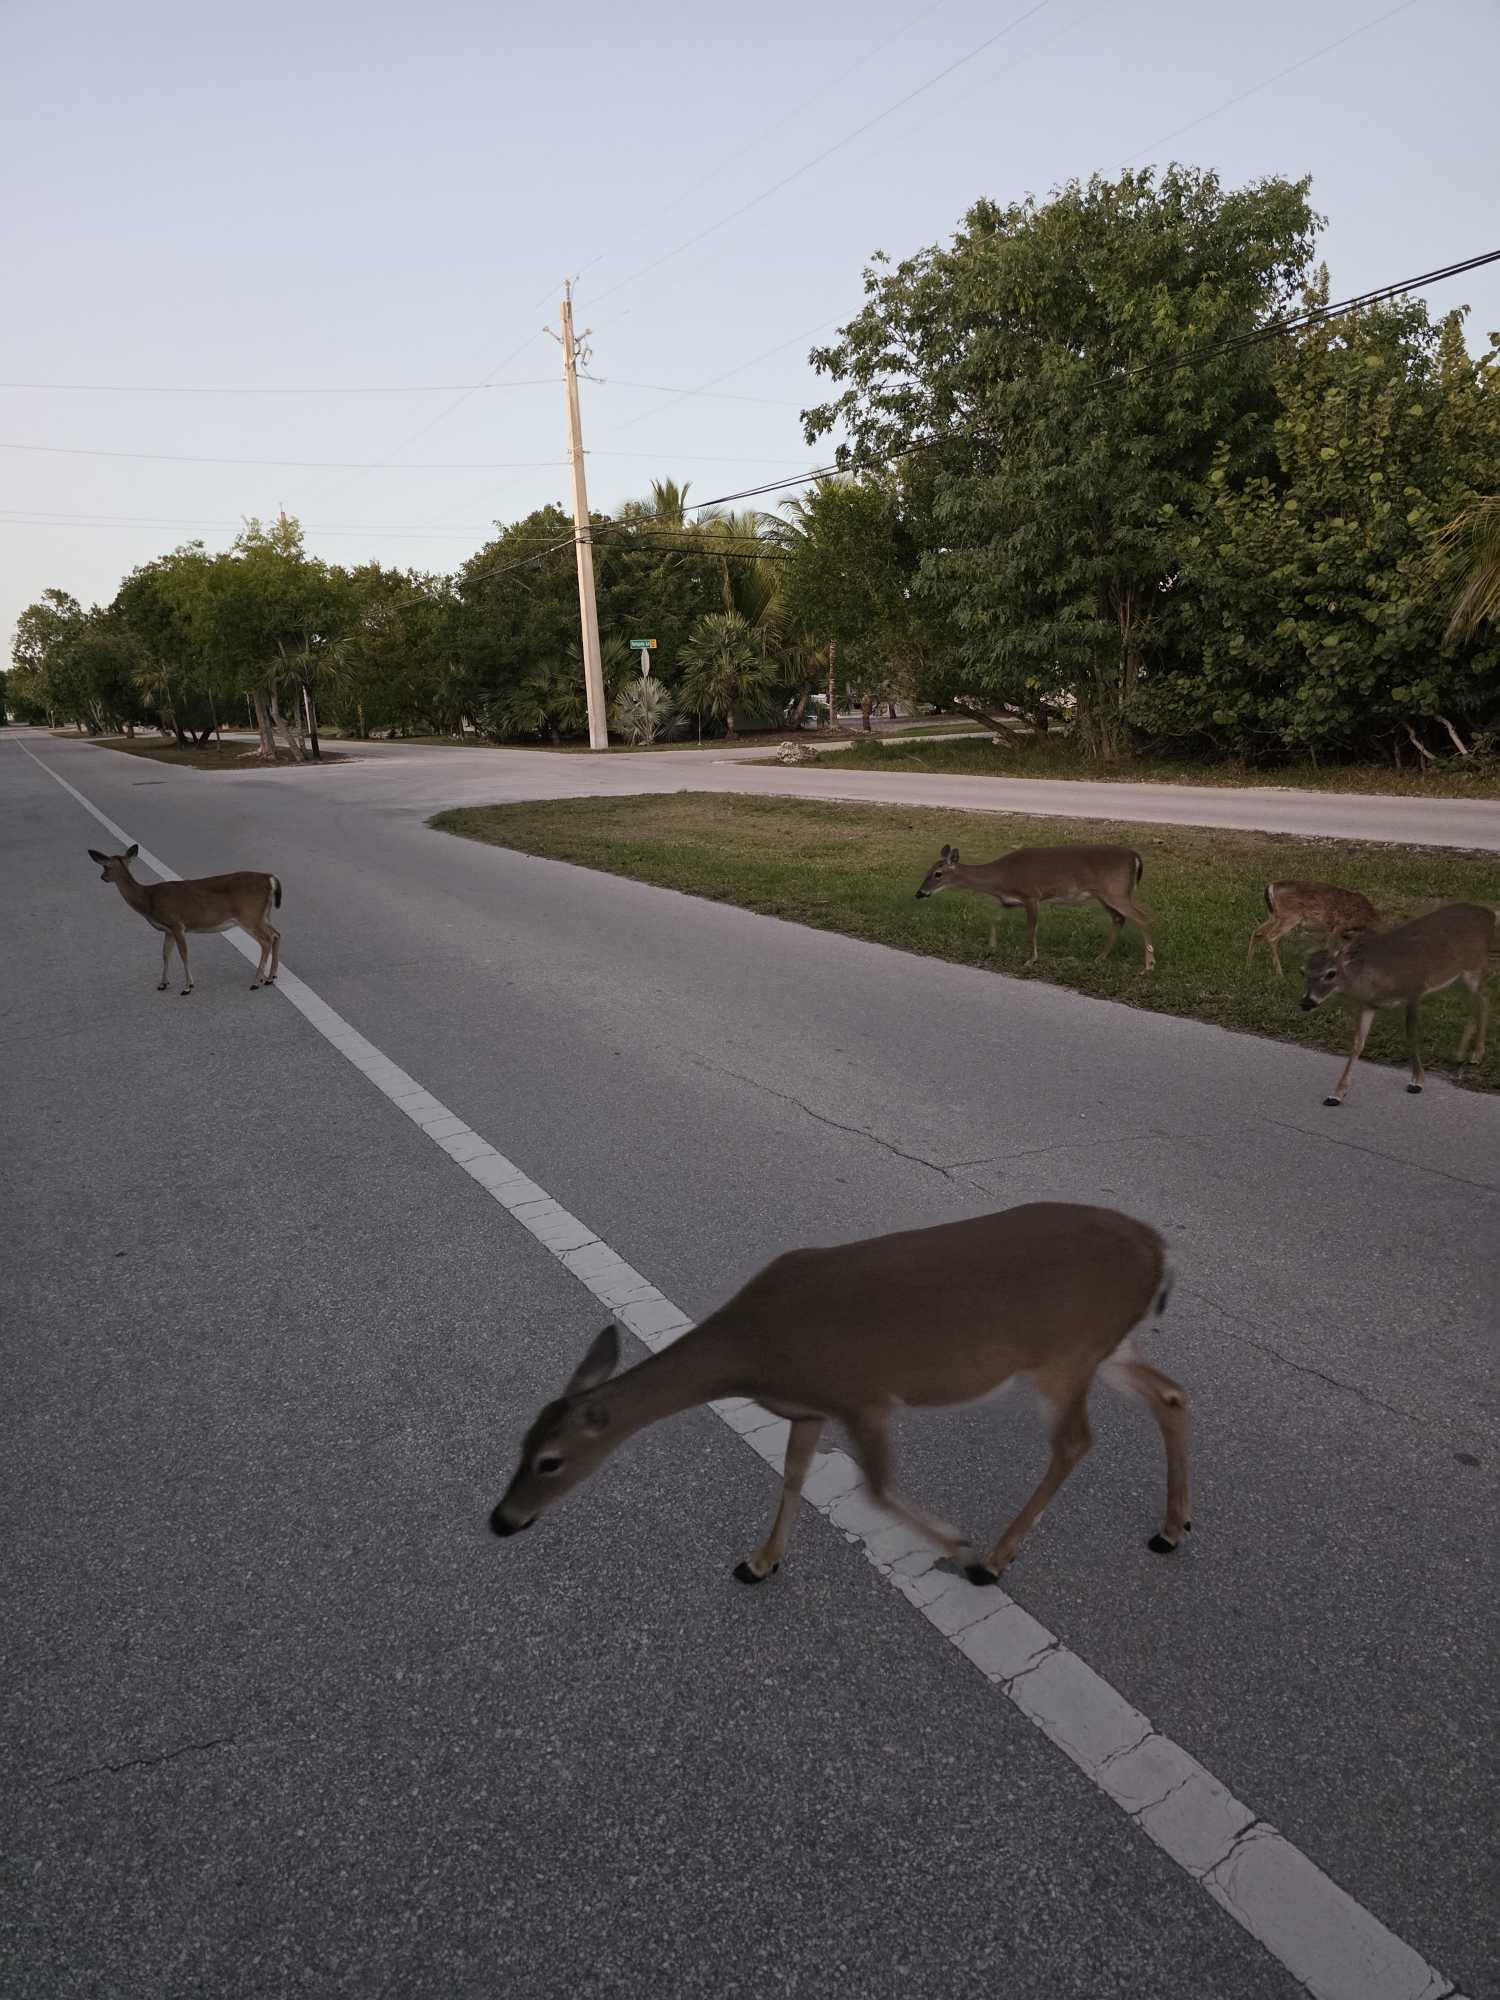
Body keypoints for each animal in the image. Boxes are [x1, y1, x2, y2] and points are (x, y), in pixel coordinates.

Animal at [88, 843, 283, 995]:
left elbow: (183, 953)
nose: (102, 877)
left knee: (266, 940)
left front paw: (188, 986)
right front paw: (163, 983)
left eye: (106, 867)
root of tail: (269, 878)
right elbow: (165, 954)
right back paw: (270, 977)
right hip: (263, 915)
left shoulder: (176, 924)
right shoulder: (167, 929)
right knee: (276, 934)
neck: (148, 900)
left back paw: (256, 982)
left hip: (249, 915)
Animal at [491, 1202, 1191, 1591]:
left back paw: (993, 1560)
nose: (501, 1521)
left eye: (550, 1461)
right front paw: (759, 1562)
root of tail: (1159, 1250)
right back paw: (1172, 1529)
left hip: (1063, 1354)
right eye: (520, 1444)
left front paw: (958, 1545)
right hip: (1106, 1346)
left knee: (1076, 1440)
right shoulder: (812, 1407)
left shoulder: (861, 1396)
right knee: (1172, 1394)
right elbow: (795, 1473)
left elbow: (874, 1489)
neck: (755, 1352)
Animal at [915, 844, 1155, 970]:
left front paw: (1030, 960)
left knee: (1143, 917)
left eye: (938, 874)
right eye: (927, 870)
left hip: (1116, 891)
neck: (1001, 878)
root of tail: (1135, 857)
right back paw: (1100, 958)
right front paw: (991, 947)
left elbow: (1031, 930)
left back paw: (1148, 966)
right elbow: (993, 918)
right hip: (1106, 895)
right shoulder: (1010, 901)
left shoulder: (1032, 895)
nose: (919, 893)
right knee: (1120, 919)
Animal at [1247, 880, 1382, 977]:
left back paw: (1249, 964)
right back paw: (1279, 973)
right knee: (1271, 937)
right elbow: (1332, 950)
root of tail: (1271, 887)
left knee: (1257, 932)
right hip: (1290, 916)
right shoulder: (1338, 926)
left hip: (1274, 916)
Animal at [1299, 903, 1496, 1105]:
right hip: (1461, 975)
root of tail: (1488, 913)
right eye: (1302, 972)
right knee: (1475, 1003)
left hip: (1474, 967)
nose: (1306, 1002)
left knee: (1484, 999)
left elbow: (1411, 1035)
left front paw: (1417, 1081)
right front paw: (1336, 1094)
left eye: (1331, 973)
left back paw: (1477, 1054)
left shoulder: (1414, 990)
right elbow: (1357, 1044)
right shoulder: (1369, 1004)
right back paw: (1461, 1054)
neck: (1376, 978)